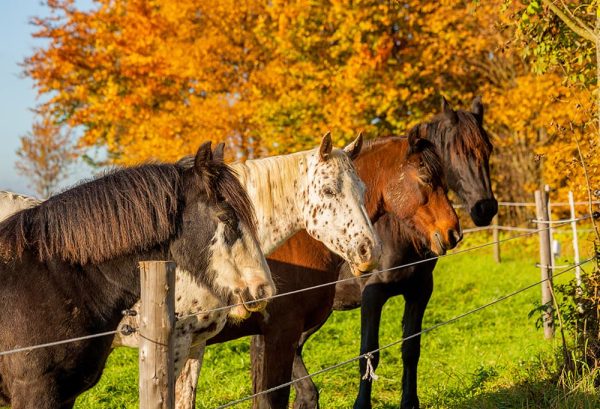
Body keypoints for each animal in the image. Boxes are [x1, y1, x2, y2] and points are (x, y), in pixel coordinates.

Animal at [290, 96, 496, 408]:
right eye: (456, 151)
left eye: (488, 149)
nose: (486, 208)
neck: (397, 231)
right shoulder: (372, 295)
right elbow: (369, 355)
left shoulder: (419, 291)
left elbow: (411, 349)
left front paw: (410, 401)